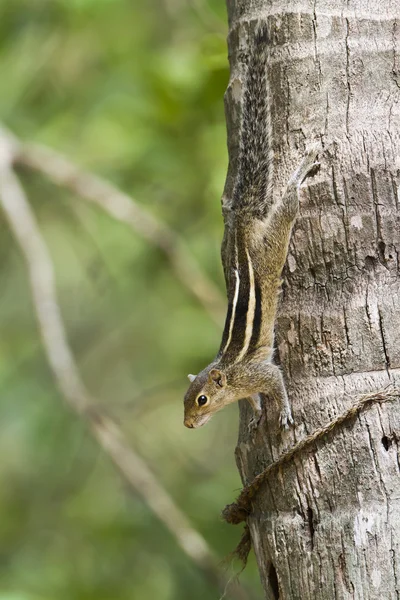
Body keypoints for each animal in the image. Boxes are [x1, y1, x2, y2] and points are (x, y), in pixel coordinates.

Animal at [184, 24, 318, 432]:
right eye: (184, 401)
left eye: (202, 399)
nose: (188, 424)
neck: (229, 376)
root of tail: (242, 221)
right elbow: (254, 400)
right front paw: (257, 415)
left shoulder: (259, 373)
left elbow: (277, 383)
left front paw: (284, 411)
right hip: (227, 245)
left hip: (273, 238)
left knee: (287, 204)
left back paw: (301, 170)